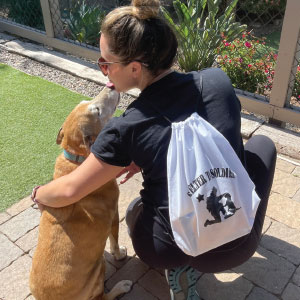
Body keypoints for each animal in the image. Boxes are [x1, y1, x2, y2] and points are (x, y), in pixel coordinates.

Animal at [29, 86, 132, 300]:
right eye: (97, 111)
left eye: (85, 102)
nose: (111, 85)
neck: (77, 158)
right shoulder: (114, 215)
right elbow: (114, 242)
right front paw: (119, 254)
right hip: (99, 268)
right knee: (103, 296)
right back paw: (121, 286)